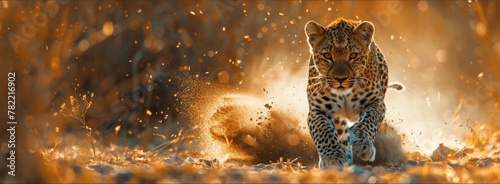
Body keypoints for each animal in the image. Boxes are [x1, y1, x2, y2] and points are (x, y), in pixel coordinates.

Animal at [302, 18, 404, 169]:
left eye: (353, 55)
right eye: (327, 55)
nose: (340, 78)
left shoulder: (376, 102)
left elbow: (369, 120)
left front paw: (362, 144)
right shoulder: (317, 110)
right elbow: (324, 132)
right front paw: (332, 157)